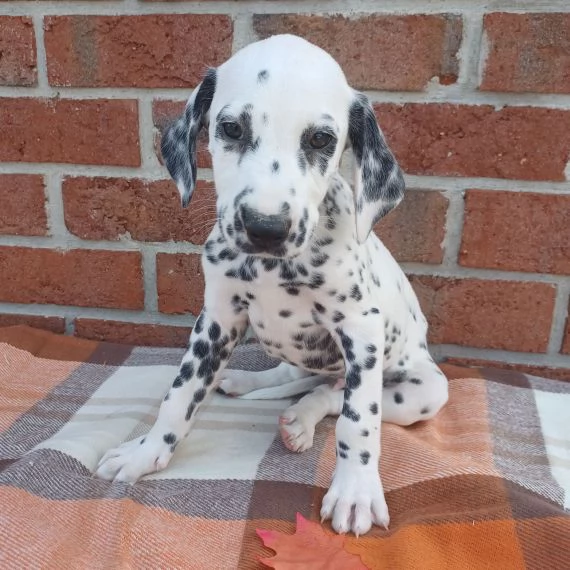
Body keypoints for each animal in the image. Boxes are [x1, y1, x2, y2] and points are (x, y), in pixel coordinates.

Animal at [94, 34, 448, 532]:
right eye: (231, 129)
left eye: (321, 139)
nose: (265, 227)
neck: (270, 268)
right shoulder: (217, 319)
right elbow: (179, 395)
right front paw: (145, 454)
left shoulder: (361, 329)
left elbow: (359, 419)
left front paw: (355, 491)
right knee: (297, 377)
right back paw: (246, 382)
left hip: (423, 390)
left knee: (334, 396)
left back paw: (301, 418)